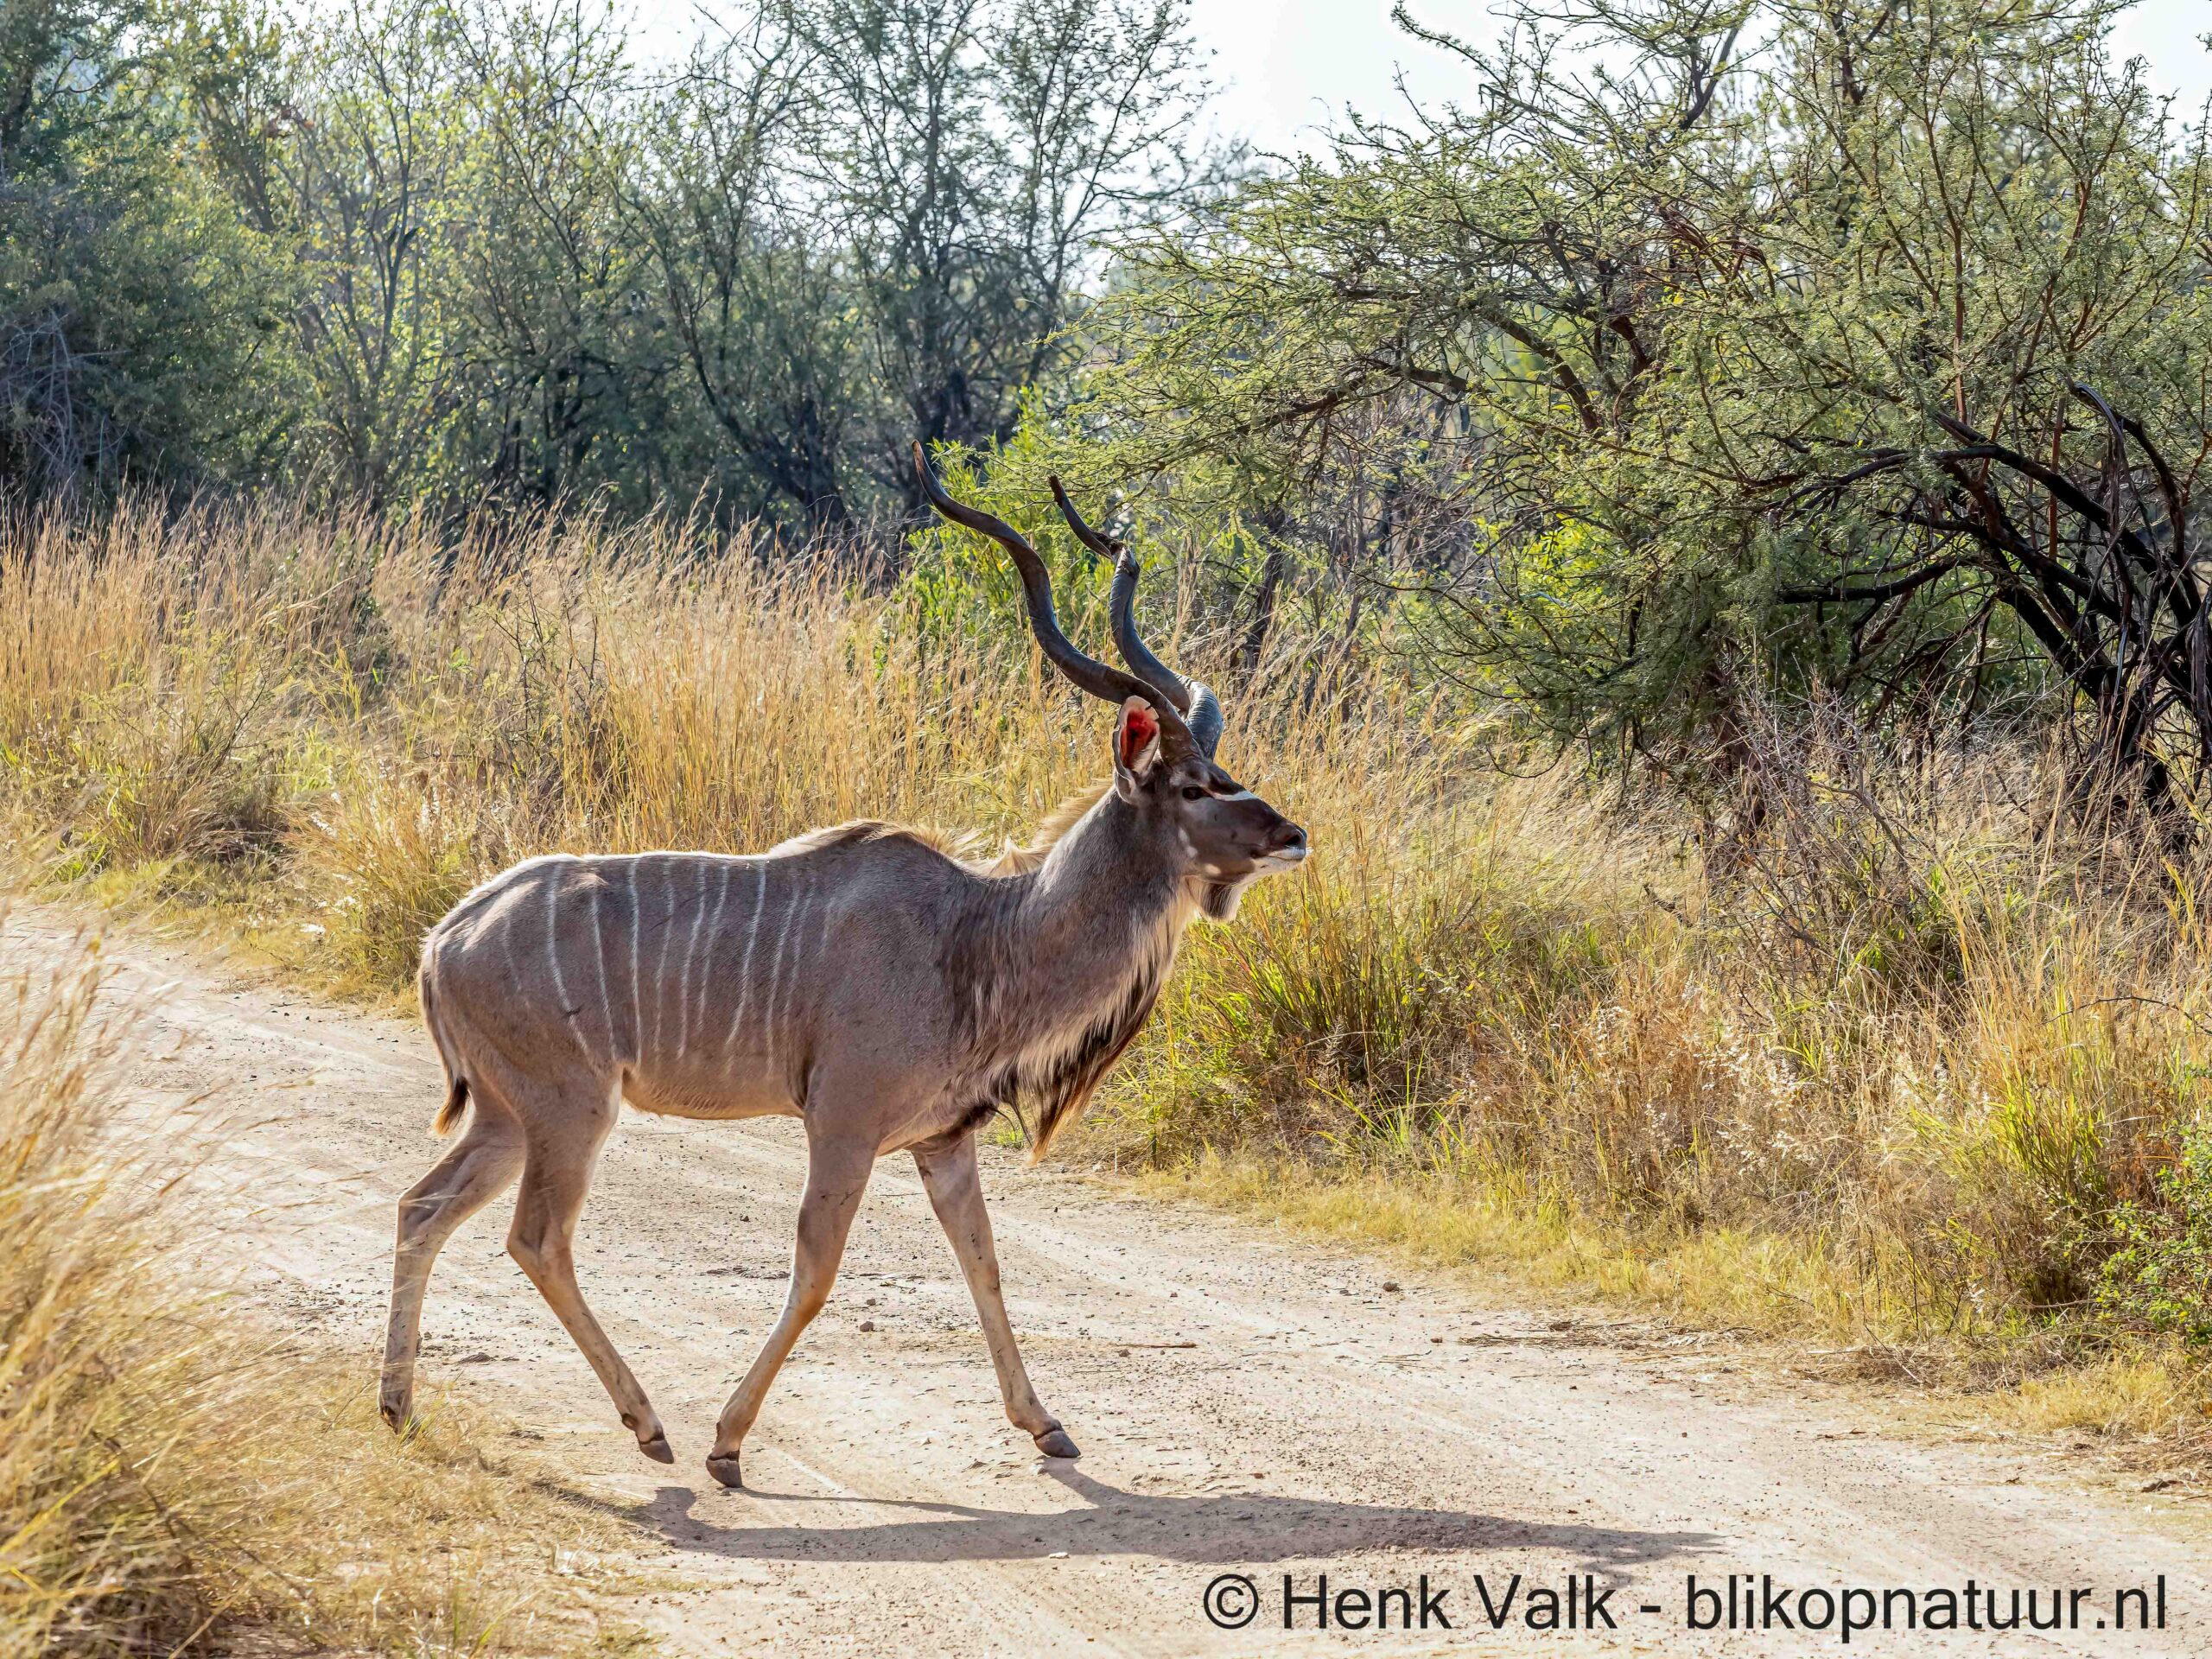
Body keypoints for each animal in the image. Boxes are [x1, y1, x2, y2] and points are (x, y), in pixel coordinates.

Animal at [377, 445, 1308, 1487]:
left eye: (1226, 774)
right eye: (1193, 787)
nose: (1292, 835)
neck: (975, 938)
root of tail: (445, 938)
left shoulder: (942, 1142)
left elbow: (984, 1263)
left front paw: (1047, 1426)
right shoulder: (844, 1126)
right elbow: (818, 1272)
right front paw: (728, 1442)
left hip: (508, 1117)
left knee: (423, 1207)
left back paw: (400, 1405)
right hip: (569, 1110)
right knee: (536, 1238)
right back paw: (650, 1426)